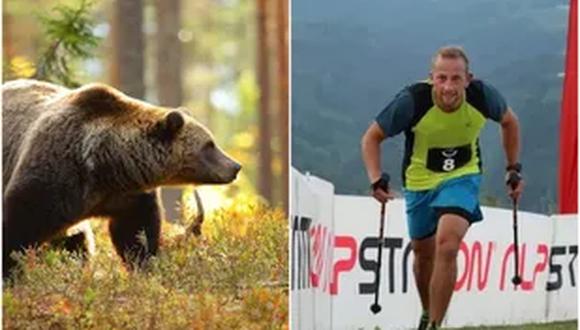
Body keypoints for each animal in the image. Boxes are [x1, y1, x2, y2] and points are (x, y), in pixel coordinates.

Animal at [1, 80, 239, 278]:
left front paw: (144, 266)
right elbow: (20, 221)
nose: (235, 166)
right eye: (209, 145)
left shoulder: (127, 196)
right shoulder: (56, 172)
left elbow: (135, 232)